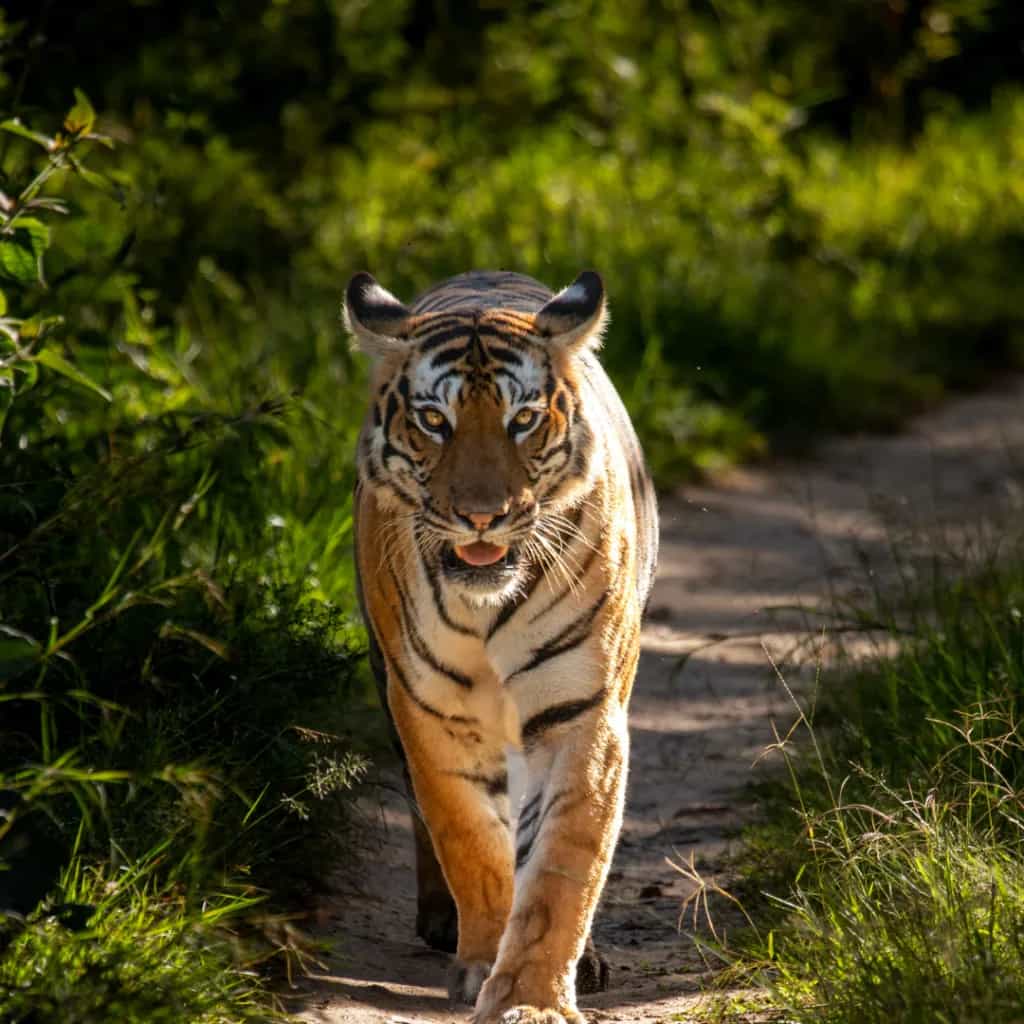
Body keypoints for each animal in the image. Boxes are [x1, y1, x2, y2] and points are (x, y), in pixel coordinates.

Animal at [345, 268, 658, 1024]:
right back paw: (442, 922)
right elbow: (469, 839)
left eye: (523, 420)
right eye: (435, 420)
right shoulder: (430, 712)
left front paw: (532, 996)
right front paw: (484, 962)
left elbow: (562, 864)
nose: (483, 516)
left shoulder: (581, 714)